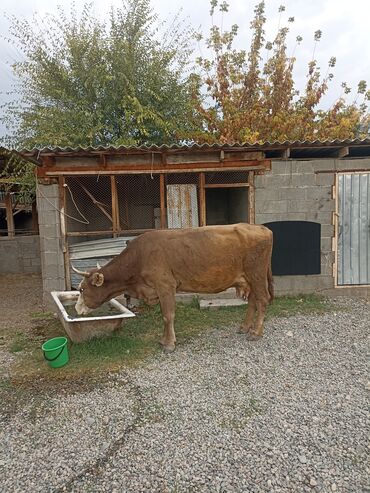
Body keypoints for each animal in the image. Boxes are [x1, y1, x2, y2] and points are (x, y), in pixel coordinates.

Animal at [73, 223, 274, 350]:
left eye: (82, 289)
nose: (76, 309)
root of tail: (260, 227)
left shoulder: (165, 285)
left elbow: (167, 315)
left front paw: (169, 344)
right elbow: (165, 315)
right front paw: (165, 340)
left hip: (256, 274)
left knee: (262, 300)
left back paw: (256, 333)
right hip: (250, 278)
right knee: (253, 300)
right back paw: (245, 327)